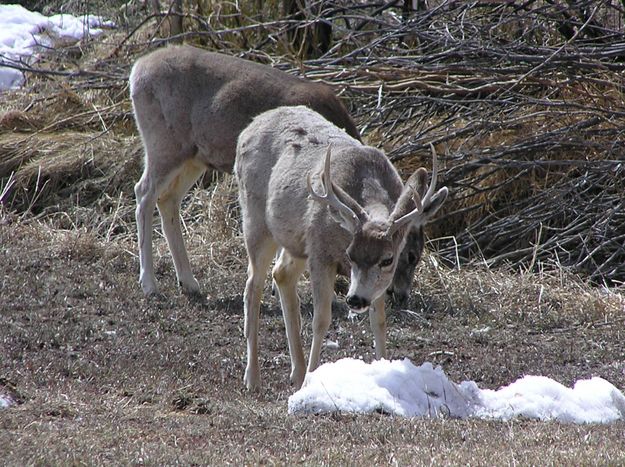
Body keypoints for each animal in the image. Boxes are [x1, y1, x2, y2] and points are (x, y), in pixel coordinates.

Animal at [129, 46, 358, 296]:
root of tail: (137, 71)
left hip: (194, 158)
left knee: (168, 198)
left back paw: (188, 282)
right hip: (164, 144)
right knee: (144, 192)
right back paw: (149, 283)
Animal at [235, 107, 448, 392]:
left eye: (388, 259)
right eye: (350, 254)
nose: (355, 299)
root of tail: (249, 127)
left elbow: (379, 322)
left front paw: (383, 369)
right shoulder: (320, 251)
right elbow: (321, 319)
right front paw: (311, 379)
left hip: (295, 241)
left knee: (280, 275)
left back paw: (296, 372)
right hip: (256, 220)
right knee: (252, 286)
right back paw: (253, 377)